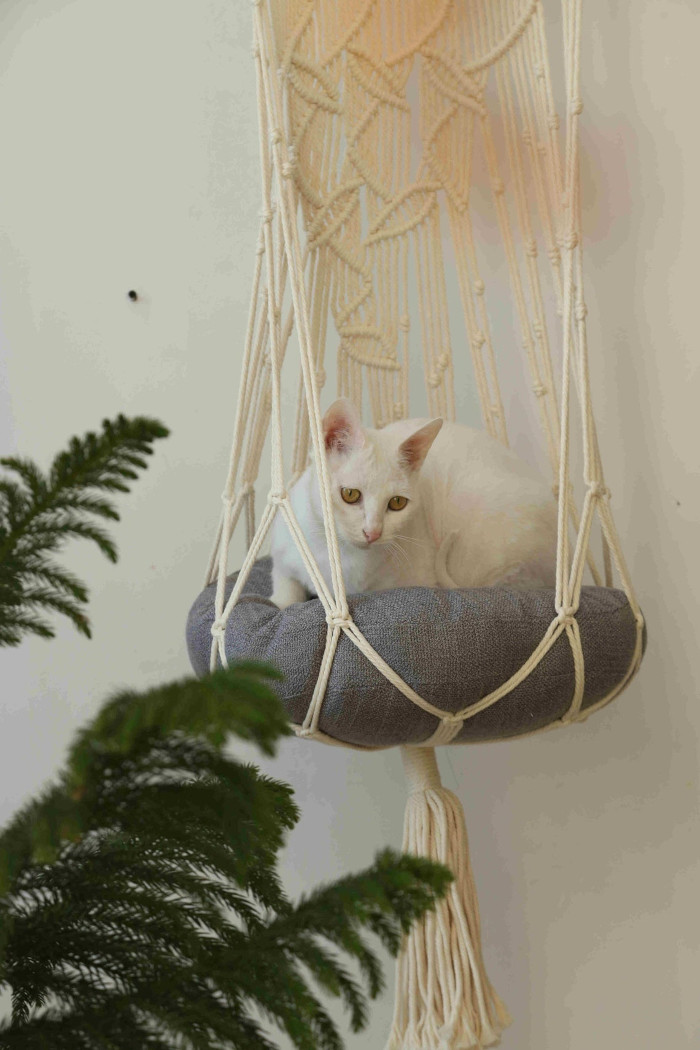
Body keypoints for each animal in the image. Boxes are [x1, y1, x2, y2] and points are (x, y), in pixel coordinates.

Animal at [270, 396, 558, 609]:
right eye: (350, 495)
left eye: (397, 502)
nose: (372, 532)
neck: (344, 559)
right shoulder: (283, 552)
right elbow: (284, 591)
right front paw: (282, 600)